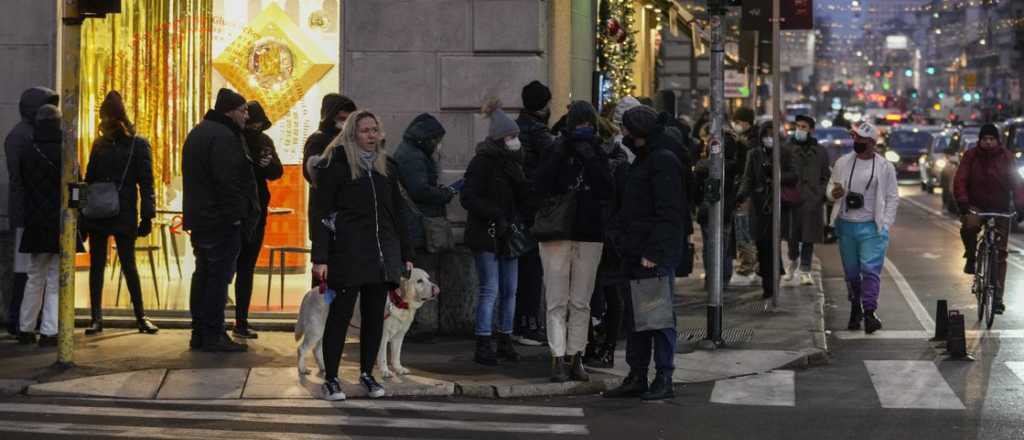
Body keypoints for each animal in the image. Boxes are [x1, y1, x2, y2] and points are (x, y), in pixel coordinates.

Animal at [296, 268, 440, 378]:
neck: (398, 301)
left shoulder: (399, 337)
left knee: (316, 350)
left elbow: (396, 356)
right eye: (419, 281)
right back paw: (302, 369)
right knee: (301, 349)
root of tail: (310, 292)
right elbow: (383, 357)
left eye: (428, 278)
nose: (437, 289)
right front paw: (385, 371)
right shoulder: (382, 336)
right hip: (315, 330)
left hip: (324, 330)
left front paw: (398, 369)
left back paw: (323, 368)